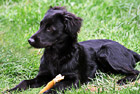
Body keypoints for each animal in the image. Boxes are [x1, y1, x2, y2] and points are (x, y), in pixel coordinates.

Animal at [8, 6, 140, 93]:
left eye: (50, 28)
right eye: (41, 25)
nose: (30, 40)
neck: (56, 55)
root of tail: (128, 50)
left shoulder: (74, 79)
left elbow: (57, 86)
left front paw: (46, 91)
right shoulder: (43, 75)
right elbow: (25, 81)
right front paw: (11, 89)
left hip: (106, 51)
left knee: (135, 71)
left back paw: (123, 80)